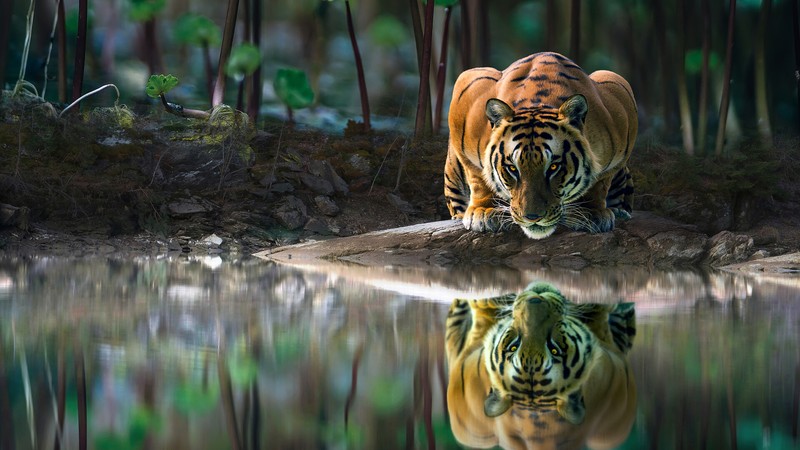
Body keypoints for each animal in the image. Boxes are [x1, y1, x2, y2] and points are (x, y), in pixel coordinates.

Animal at [444, 52, 636, 239]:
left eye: (553, 167)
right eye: (512, 168)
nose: (532, 217)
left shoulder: (620, 95)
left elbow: (600, 182)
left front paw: (591, 212)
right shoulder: (467, 87)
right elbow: (478, 177)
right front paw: (485, 211)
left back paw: (620, 212)